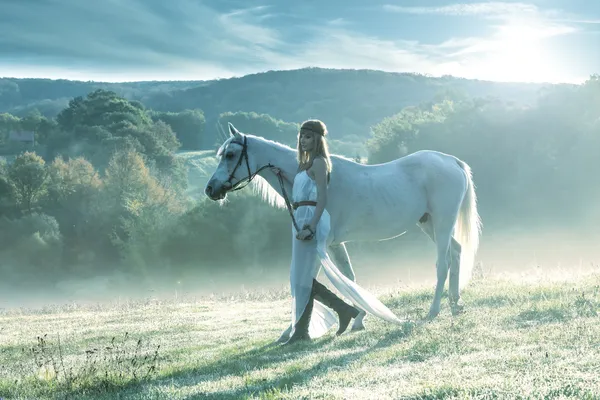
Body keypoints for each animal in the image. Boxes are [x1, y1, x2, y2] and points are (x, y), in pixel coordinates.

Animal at [206, 124, 482, 328]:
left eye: (230, 155)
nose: (211, 189)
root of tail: (451, 161)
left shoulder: (320, 243)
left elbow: (312, 280)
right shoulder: (335, 244)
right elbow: (349, 277)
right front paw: (359, 318)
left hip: (443, 223)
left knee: (443, 263)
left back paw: (434, 310)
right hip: (430, 224)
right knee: (456, 252)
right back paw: (455, 303)